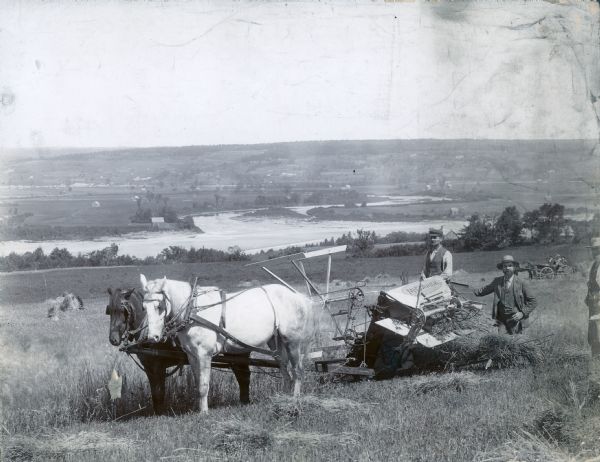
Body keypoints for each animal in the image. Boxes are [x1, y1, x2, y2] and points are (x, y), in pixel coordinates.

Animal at [105, 286, 251, 414]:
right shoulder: (149, 366)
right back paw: (244, 401)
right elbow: (155, 390)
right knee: (243, 375)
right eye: (109, 310)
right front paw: (157, 411)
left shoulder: (157, 365)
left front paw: (160, 413)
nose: (113, 339)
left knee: (243, 376)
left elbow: (158, 390)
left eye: (123, 310)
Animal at [139, 274, 314, 412]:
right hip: (275, 343)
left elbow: (203, 385)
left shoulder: (204, 354)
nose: (152, 337)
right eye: (144, 307)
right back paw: (283, 398)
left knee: (297, 371)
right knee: (284, 370)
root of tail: (297, 296)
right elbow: (197, 384)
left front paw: (204, 412)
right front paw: (198, 409)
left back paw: (294, 400)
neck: (193, 310)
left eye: (159, 306)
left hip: (292, 341)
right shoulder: (192, 355)